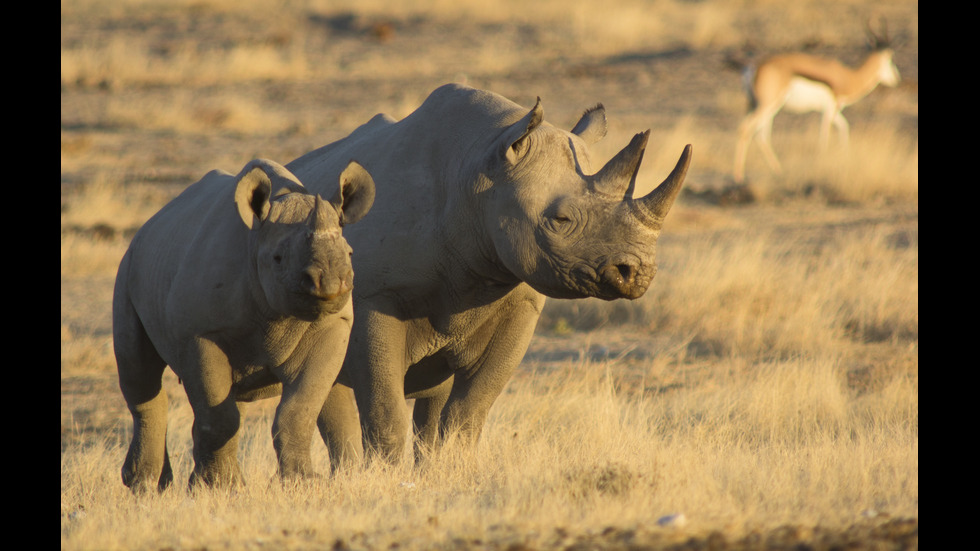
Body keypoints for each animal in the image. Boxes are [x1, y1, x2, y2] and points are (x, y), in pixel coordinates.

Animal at [732, 22, 900, 183]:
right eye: (890, 58)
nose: (896, 78)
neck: (848, 78)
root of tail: (754, 67)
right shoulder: (829, 110)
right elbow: (824, 137)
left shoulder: (834, 111)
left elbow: (844, 127)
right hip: (768, 106)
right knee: (746, 129)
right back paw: (739, 175)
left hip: (757, 106)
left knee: (761, 135)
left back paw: (778, 171)